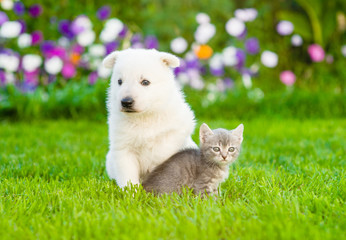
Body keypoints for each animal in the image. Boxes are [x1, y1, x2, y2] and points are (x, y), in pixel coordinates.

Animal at [102, 48, 197, 188]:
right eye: (119, 81)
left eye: (145, 82)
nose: (126, 102)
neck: (144, 118)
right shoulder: (124, 149)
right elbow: (127, 175)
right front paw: (131, 191)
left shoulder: (170, 140)